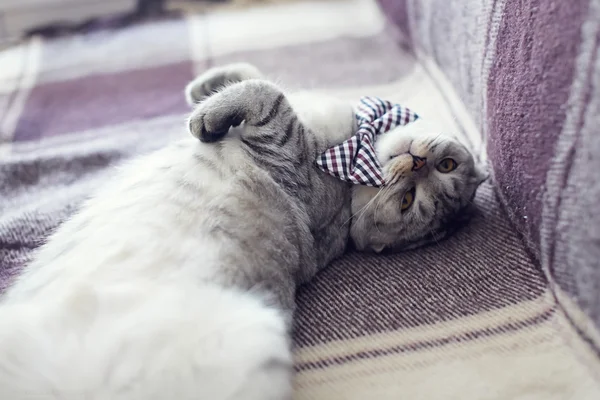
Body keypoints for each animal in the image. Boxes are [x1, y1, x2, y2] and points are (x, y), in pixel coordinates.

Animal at [0, 62, 482, 400]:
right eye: (446, 164)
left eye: (407, 202)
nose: (417, 163)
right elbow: (253, 74)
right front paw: (207, 86)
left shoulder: (290, 156)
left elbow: (268, 93)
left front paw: (207, 114)